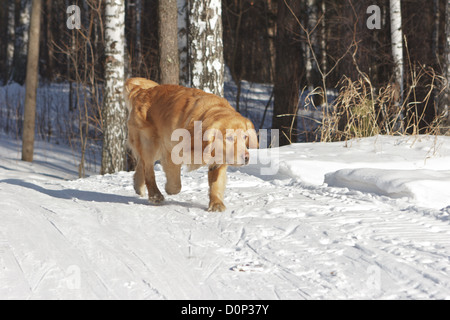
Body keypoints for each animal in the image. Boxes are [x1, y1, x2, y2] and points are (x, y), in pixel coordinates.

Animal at [124, 78, 256, 212]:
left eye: (245, 137)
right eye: (229, 138)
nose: (246, 158)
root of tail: (143, 91)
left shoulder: (219, 161)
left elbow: (216, 183)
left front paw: (216, 203)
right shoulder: (171, 151)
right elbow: (175, 184)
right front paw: (169, 189)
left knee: (142, 163)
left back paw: (138, 186)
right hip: (149, 142)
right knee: (149, 169)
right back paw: (155, 195)